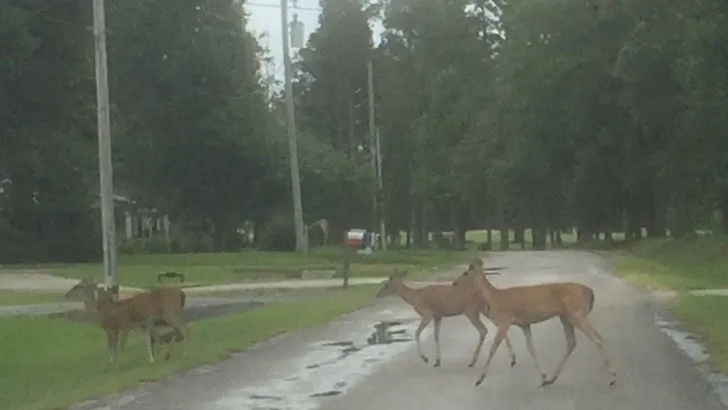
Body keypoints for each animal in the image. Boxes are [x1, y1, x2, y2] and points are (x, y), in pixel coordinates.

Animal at [376, 269, 517, 368]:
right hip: (485, 309)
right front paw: (437, 361)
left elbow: (417, 333)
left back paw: (473, 361)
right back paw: (512, 360)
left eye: (387, 284)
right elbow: (436, 336)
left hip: (471, 310)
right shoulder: (438, 316)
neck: (415, 297)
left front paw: (425, 358)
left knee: (483, 330)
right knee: (500, 327)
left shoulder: (428, 313)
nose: (377, 294)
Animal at [453, 257, 616, 388]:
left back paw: (612, 378)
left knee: (596, 338)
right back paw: (552, 378)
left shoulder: (505, 321)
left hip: (576, 313)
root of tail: (590, 292)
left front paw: (479, 380)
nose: (454, 282)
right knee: (574, 341)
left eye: (466, 272)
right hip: (566, 316)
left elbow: (493, 348)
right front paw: (543, 376)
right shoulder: (524, 324)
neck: (495, 297)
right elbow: (531, 348)